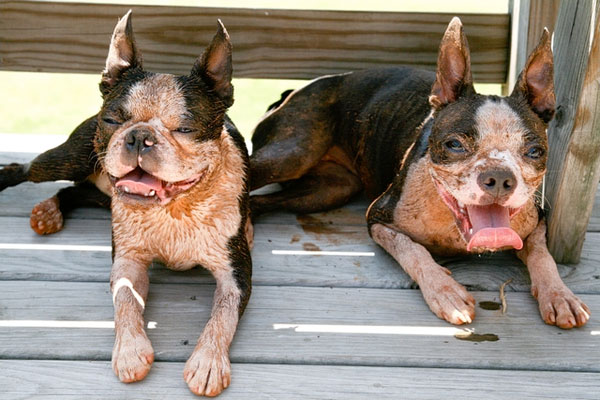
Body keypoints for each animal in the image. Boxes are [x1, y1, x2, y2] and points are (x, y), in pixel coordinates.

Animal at [0, 10, 252, 396]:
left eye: (185, 129)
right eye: (112, 120)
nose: (140, 136)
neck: (175, 209)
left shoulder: (235, 274)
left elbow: (222, 315)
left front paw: (208, 361)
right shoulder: (129, 261)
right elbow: (125, 299)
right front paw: (130, 350)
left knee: (75, 190)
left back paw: (51, 210)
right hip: (69, 158)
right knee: (25, 169)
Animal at [250, 18, 592, 330]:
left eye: (535, 151)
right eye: (454, 144)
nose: (498, 178)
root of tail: (295, 89)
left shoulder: (537, 222)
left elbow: (542, 254)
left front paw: (559, 295)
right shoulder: (379, 218)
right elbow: (413, 250)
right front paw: (445, 292)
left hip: (330, 189)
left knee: (264, 202)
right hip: (292, 151)